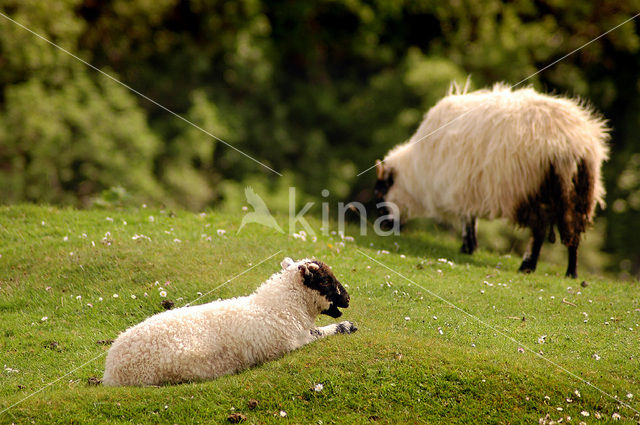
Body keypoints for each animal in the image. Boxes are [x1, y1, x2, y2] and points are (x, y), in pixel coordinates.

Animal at [102, 256, 358, 386]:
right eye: (325, 280)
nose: (347, 298)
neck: (283, 305)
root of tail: (110, 370)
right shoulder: (294, 341)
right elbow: (322, 332)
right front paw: (347, 327)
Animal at [376, 82, 608, 278]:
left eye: (381, 191)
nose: (384, 226)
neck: (415, 175)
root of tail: (571, 142)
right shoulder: (467, 189)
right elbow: (470, 219)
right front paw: (470, 246)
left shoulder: (461, 187)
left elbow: (467, 220)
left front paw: (467, 247)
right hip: (581, 192)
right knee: (573, 233)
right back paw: (571, 272)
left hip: (531, 187)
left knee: (539, 229)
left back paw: (527, 265)